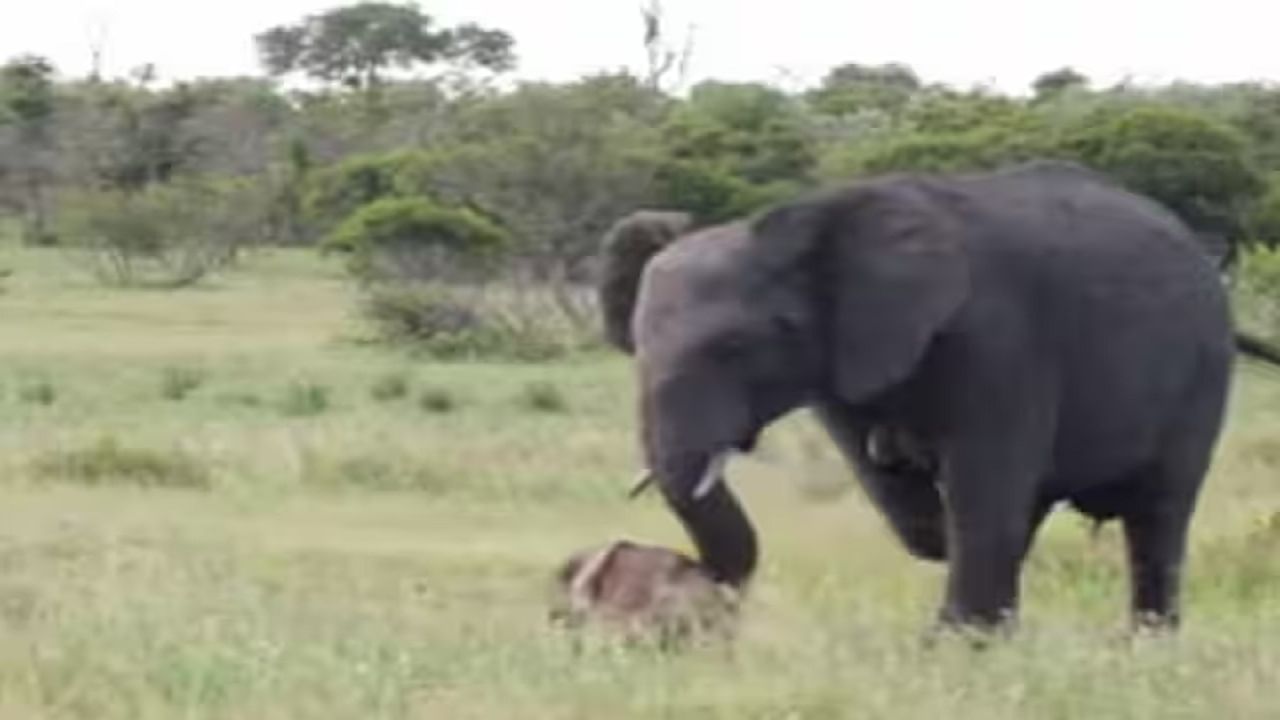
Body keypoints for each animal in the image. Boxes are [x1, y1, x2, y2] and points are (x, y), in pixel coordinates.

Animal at [596, 159, 1280, 630]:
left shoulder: (1000, 341)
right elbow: (916, 510)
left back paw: (1146, 645)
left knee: (1160, 514)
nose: (682, 571)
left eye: (737, 347)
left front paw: (961, 648)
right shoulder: (847, 367)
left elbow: (984, 497)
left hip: (1202, 370)